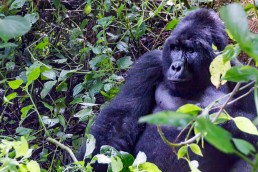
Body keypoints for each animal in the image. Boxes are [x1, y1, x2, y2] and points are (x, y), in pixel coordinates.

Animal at [77, 9, 256, 171]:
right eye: (175, 48)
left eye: (190, 51)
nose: (176, 67)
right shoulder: (149, 64)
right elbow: (120, 120)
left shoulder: (247, 77)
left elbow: (252, 128)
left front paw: (207, 115)